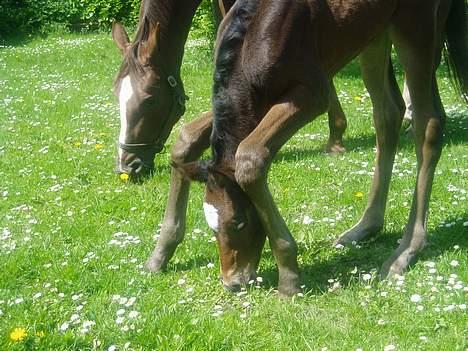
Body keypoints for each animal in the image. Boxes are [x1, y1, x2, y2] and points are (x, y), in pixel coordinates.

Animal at [147, 0, 468, 296]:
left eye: (238, 222)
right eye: (212, 227)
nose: (232, 282)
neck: (254, 32)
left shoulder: (312, 94)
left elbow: (250, 158)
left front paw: (289, 277)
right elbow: (185, 140)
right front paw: (160, 253)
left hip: (416, 27)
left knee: (428, 124)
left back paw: (406, 251)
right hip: (373, 33)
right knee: (388, 114)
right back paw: (365, 227)